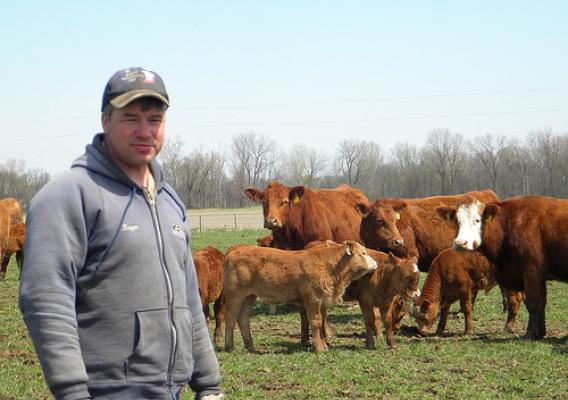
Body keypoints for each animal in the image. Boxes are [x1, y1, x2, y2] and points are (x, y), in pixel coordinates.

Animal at [222, 239, 378, 352]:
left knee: (243, 319)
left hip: (249, 297)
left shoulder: (322, 302)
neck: (331, 266)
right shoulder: (313, 300)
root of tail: (235, 249)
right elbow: (315, 323)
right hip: (235, 295)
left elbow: (321, 322)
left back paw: (251, 347)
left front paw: (324, 345)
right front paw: (319, 348)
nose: (376, 263)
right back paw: (229, 347)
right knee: (230, 318)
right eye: (363, 253)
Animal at [440, 195, 568, 340]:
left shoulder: (532, 272)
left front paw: (530, 334)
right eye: (457, 220)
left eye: (477, 220)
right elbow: (541, 303)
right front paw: (540, 333)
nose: (461, 243)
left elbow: (534, 303)